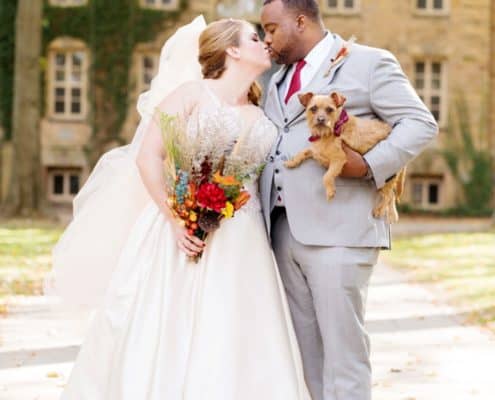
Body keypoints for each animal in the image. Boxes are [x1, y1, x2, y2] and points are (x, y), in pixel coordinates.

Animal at [286, 92, 406, 223]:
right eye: (313, 109)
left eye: (329, 109)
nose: (321, 119)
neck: (328, 132)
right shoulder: (315, 151)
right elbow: (303, 152)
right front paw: (292, 162)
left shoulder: (338, 159)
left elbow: (326, 176)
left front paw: (330, 191)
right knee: (391, 195)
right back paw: (392, 214)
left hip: (386, 177)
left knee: (388, 195)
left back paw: (379, 210)